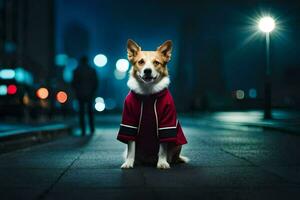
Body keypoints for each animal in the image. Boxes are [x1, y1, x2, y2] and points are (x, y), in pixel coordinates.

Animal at [117, 39, 188, 170]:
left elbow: (163, 148)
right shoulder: (129, 121)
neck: (148, 93)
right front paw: (129, 162)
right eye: (141, 62)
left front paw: (162, 162)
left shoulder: (166, 121)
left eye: (156, 62)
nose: (147, 70)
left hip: (177, 144)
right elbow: (131, 147)